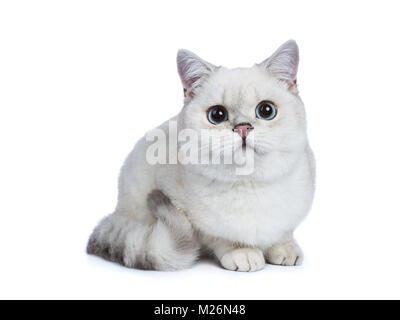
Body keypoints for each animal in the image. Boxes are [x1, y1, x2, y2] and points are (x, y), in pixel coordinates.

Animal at [87, 38, 316, 272]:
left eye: (266, 110)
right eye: (217, 115)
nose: (243, 127)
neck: (250, 183)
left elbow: (283, 233)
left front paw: (285, 249)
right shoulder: (189, 215)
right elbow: (222, 238)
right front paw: (242, 252)